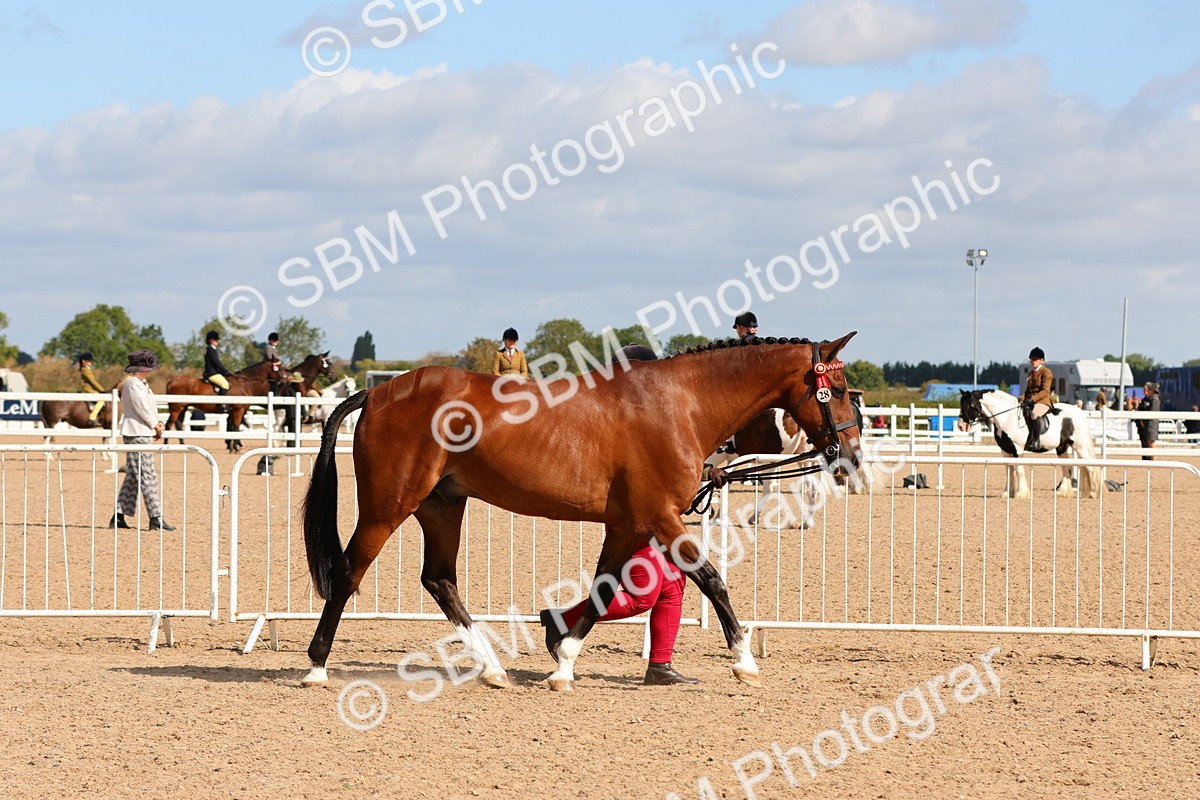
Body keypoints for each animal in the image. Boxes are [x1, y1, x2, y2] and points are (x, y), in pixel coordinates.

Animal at [301, 333, 863, 692]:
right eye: (835, 391)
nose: (852, 455)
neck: (679, 403)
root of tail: (379, 390)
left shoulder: (628, 525)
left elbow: (604, 590)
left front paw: (563, 664)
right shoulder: (660, 518)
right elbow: (711, 579)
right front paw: (744, 660)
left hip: (442, 506)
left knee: (439, 580)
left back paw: (492, 669)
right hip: (388, 505)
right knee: (348, 572)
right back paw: (316, 666)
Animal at [957, 389, 1099, 499]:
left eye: (969, 405)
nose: (960, 426)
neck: (1007, 417)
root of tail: (1079, 413)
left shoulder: (1017, 449)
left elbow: (1019, 470)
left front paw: (1021, 494)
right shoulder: (1006, 451)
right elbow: (1009, 470)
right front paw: (1007, 493)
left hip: (1079, 446)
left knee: (1090, 466)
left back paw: (1093, 493)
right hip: (1062, 448)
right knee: (1066, 468)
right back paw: (1063, 492)